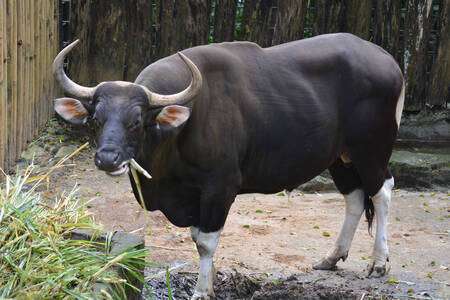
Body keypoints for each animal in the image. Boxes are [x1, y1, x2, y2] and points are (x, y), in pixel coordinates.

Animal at [51, 33, 404, 300]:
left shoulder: (219, 188)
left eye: (136, 121)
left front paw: (201, 291)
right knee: (354, 198)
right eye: (95, 120)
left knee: (381, 191)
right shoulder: (192, 195)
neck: (178, 133)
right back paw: (332, 257)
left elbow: (206, 241)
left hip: (371, 150)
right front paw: (211, 280)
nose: (108, 158)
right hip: (340, 156)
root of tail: (389, 61)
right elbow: (197, 238)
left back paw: (379, 263)